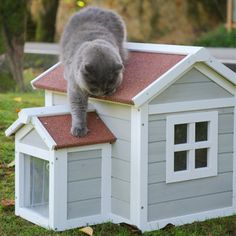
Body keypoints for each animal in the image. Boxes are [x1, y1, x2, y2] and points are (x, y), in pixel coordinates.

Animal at [60, 6, 127, 136]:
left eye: (109, 83)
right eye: (94, 84)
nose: (102, 93)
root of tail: (95, 8)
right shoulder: (76, 89)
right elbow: (78, 108)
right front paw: (79, 129)